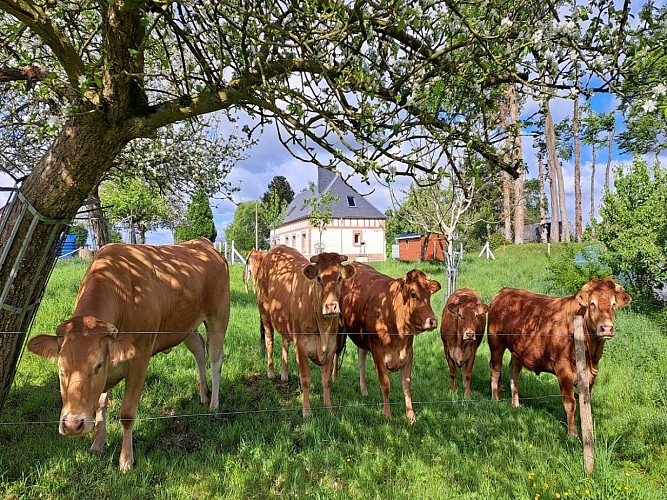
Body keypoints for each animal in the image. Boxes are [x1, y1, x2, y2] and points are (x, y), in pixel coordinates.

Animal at [27, 238, 230, 472]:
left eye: (97, 365)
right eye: (61, 369)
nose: (72, 424)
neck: (122, 291)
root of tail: (203, 243)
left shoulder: (139, 360)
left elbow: (126, 414)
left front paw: (125, 460)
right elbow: (101, 404)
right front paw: (98, 443)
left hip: (218, 317)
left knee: (215, 359)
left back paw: (214, 404)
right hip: (186, 326)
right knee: (199, 351)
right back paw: (203, 394)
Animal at [256, 245, 355, 417]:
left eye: (339, 278)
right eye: (319, 278)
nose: (331, 306)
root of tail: (276, 248)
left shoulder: (331, 346)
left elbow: (326, 380)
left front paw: (329, 409)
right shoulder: (301, 347)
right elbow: (306, 379)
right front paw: (306, 411)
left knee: (285, 342)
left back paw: (284, 374)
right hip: (265, 312)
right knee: (269, 339)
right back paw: (271, 372)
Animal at [340, 263, 441, 424]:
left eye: (429, 295)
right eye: (413, 294)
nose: (433, 321)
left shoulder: (408, 353)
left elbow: (406, 384)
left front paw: (411, 416)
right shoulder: (378, 353)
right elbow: (386, 384)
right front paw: (387, 414)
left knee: (361, 360)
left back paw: (364, 391)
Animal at [487, 277, 632, 436]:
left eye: (613, 305)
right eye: (592, 304)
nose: (606, 328)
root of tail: (505, 291)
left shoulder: (591, 374)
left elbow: (584, 401)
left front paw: (586, 428)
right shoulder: (563, 369)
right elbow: (570, 403)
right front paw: (572, 433)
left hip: (518, 350)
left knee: (513, 372)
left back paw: (516, 404)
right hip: (495, 343)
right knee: (495, 370)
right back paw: (495, 399)